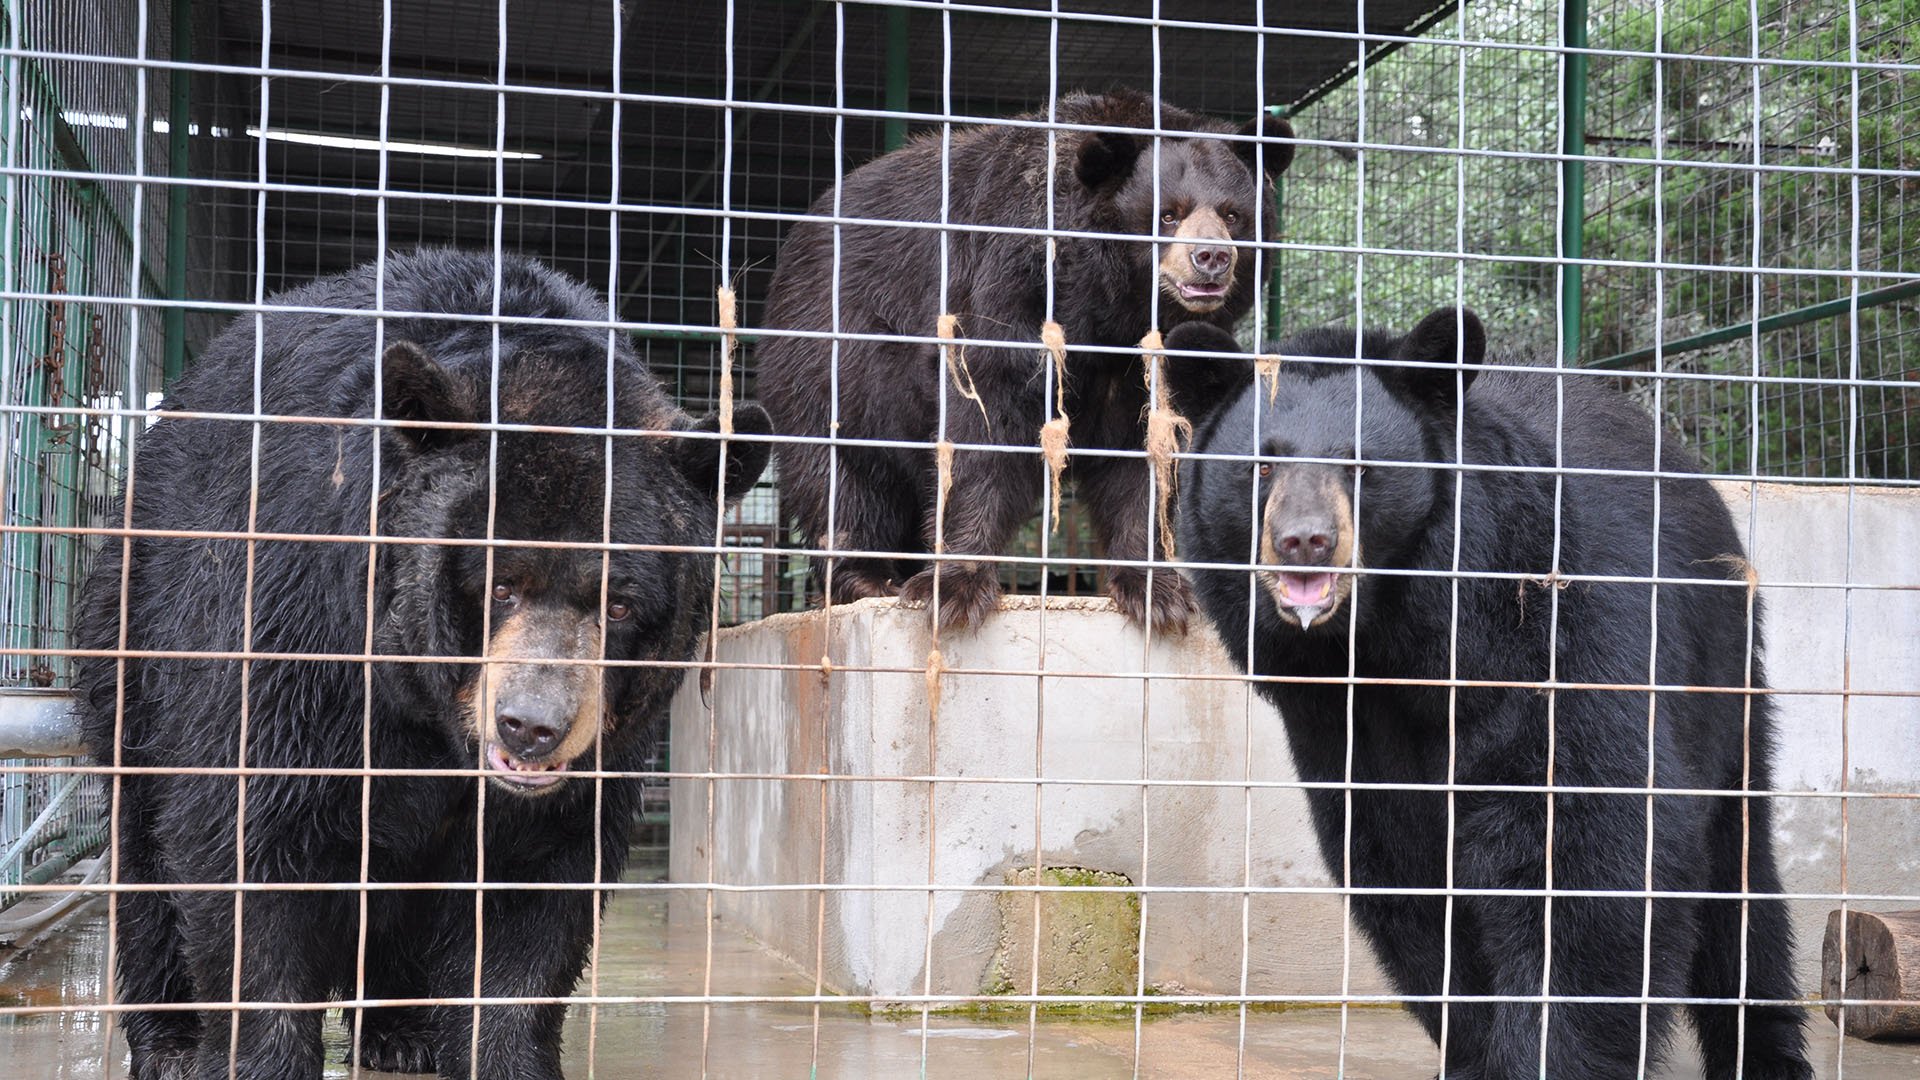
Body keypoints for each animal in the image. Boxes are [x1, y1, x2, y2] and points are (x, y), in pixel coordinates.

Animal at [74, 250, 771, 1080]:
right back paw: (171, 1042)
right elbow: (249, 842)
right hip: (132, 628)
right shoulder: (301, 625)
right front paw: (258, 1054)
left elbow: (534, 889)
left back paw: (400, 1032)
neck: (433, 712)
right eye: (498, 583)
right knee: (143, 835)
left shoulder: (595, 752)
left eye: (622, 603)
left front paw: (508, 1054)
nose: (532, 726)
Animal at [757, 88, 1293, 633]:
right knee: (841, 473)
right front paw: (954, 586)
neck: (1111, 311)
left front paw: (1156, 590)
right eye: (1168, 214)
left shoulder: (1150, 370)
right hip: (827, 355)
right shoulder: (1007, 288)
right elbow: (983, 428)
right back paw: (866, 578)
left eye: (1233, 215)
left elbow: (1148, 459)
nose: (1212, 258)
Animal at [1169, 311, 1811, 1080]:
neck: (1397, 641)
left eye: (1360, 464)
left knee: (1740, 874)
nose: (1305, 541)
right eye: (1262, 464)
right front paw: (1474, 1052)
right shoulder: (1340, 719)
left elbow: (1588, 846)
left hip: (1722, 667)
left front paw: (1546, 1056)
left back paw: (1767, 1052)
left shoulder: (1557, 634)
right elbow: (1407, 871)